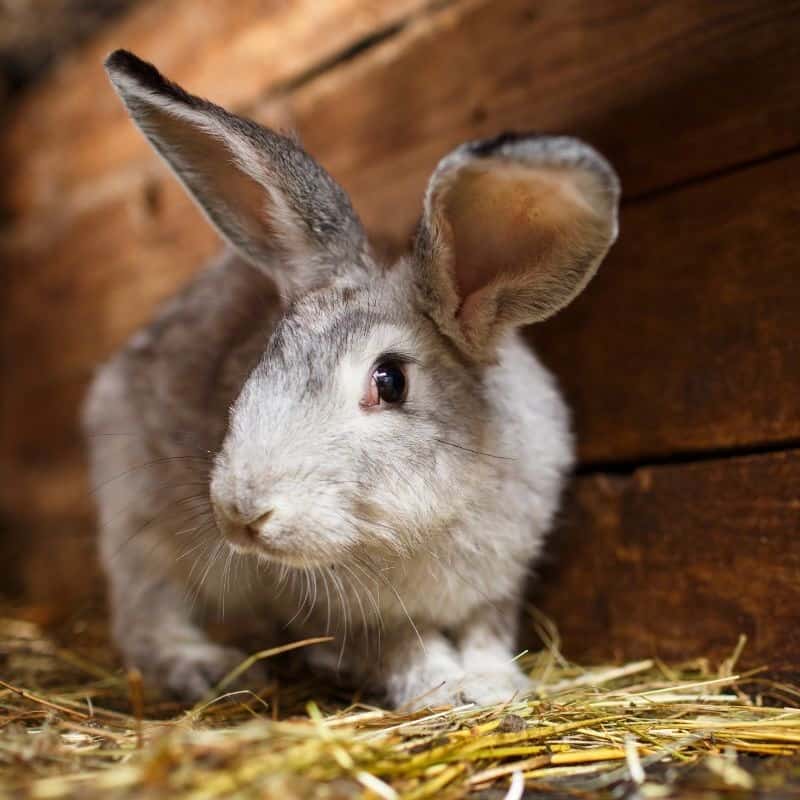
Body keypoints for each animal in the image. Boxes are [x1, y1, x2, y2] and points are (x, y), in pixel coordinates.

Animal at [83, 49, 619, 709]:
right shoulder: (355, 617)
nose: (241, 512)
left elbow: (486, 631)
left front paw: (495, 685)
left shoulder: (500, 584)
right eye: (268, 356)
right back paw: (204, 666)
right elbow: (403, 646)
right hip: (139, 523)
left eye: (389, 381)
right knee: (147, 614)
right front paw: (438, 690)